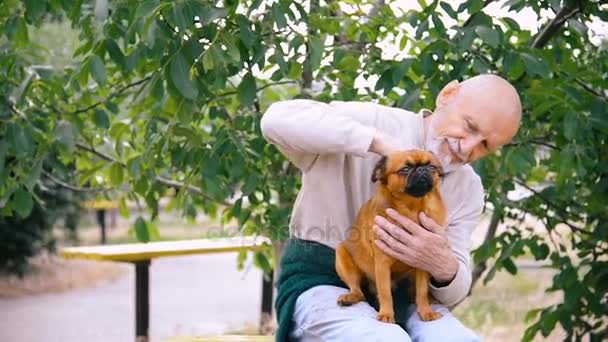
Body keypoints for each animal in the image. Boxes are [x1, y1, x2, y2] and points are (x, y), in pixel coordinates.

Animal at [332, 150, 446, 324]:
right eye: (405, 169)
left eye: (432, 167)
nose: (422, 169)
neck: (411, 209)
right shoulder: (382, 264)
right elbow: (385, 293)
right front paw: (386, 314)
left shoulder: (422, 264)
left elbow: (421, 290)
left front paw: (426, 311)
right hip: (342, 256)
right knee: (358, 290)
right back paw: (350, 297)